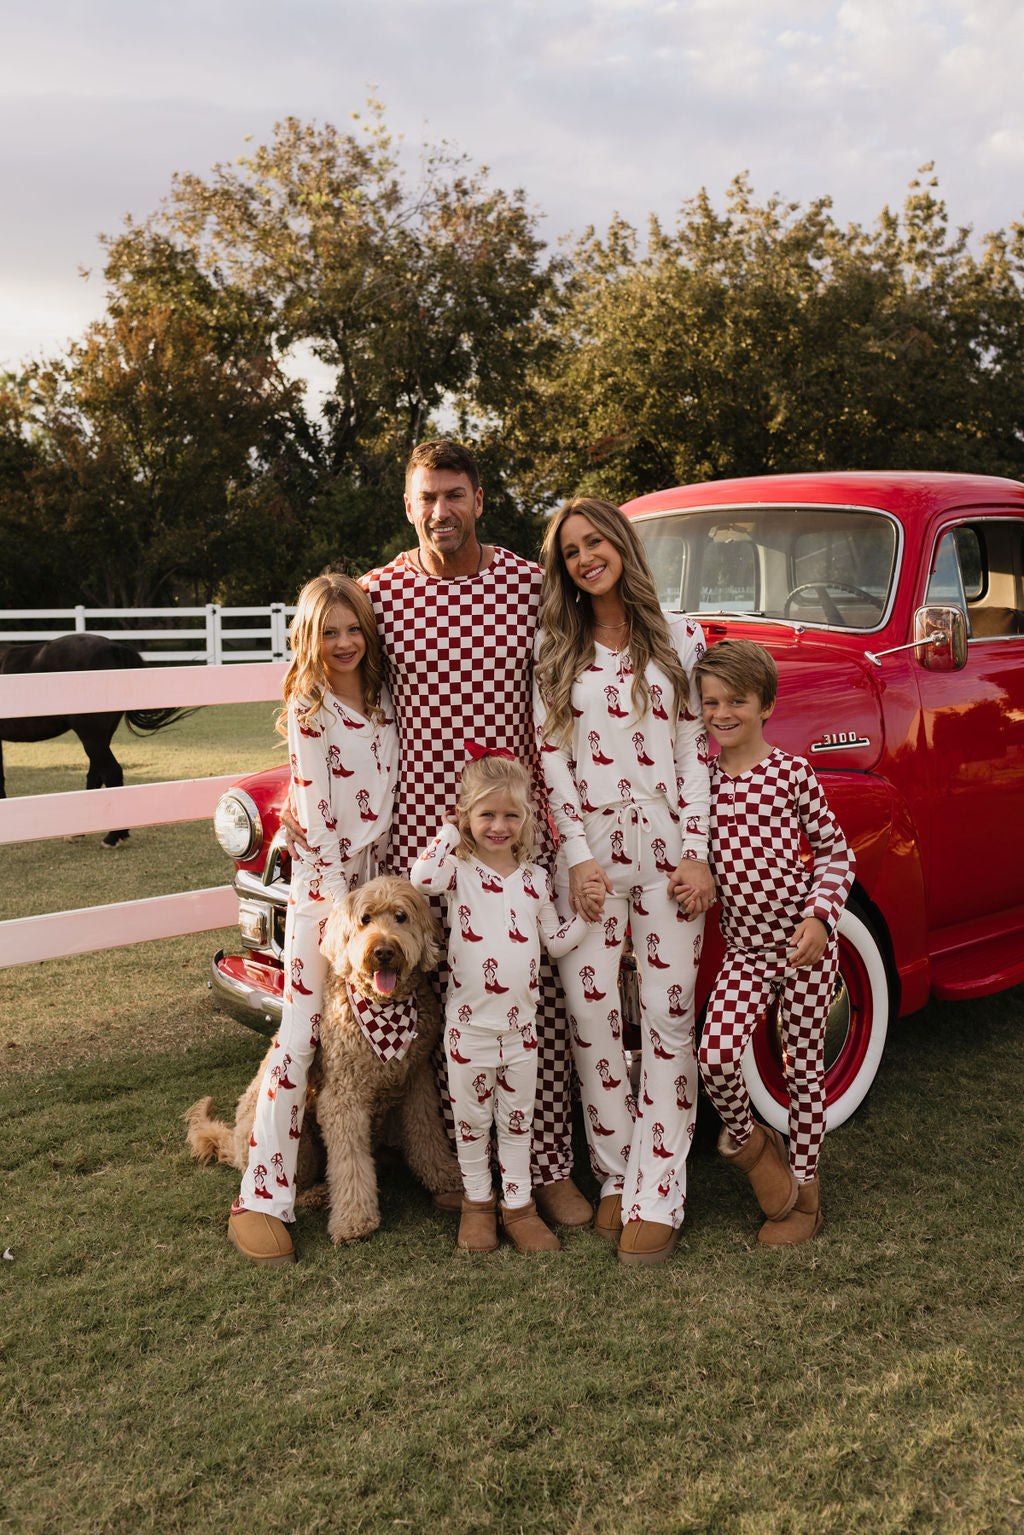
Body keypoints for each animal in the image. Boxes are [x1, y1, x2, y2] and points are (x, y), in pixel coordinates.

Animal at [0, 635, 193, 853]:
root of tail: (113, 647)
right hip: (100, 737)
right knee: (96, 774)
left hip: (91, 737)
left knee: (111, 772)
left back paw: (112, 837)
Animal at [186, 871, 463, 1240]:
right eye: (365, 919)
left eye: (401, 916)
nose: (383, 951)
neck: (383, 1009)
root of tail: (234, 1143)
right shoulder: (343, 1097)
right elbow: (349, 1163)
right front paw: (354, 1220)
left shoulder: (416, 1080)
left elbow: (427, 1132)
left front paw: (445, 1175)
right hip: (296, 1137)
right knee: (291, 1181)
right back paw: (314, 1195)